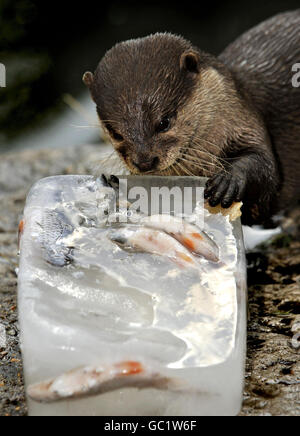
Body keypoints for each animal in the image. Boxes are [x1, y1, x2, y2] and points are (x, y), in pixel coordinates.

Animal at [82, 11, 300, 225]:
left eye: (164, 123)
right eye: (115, 134)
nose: (144, 162)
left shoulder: (247, 121)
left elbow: (266, 170)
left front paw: (228, 179)